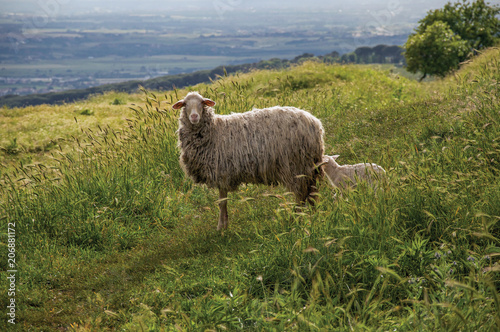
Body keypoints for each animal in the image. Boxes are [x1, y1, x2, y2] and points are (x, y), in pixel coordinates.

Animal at [174, 91, 326, 231]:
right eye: (185, 104)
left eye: (202, 103)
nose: (194, 116)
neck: (213, 130)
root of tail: (315, 124)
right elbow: (223, 202)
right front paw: (224, 225)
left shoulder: (221, 172)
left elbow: (222, 203)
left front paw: (221, 228)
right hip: (310, 166)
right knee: (312, 193)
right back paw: (312, 216)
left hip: (296, 166)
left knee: (300, 195)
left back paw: (296, 220)